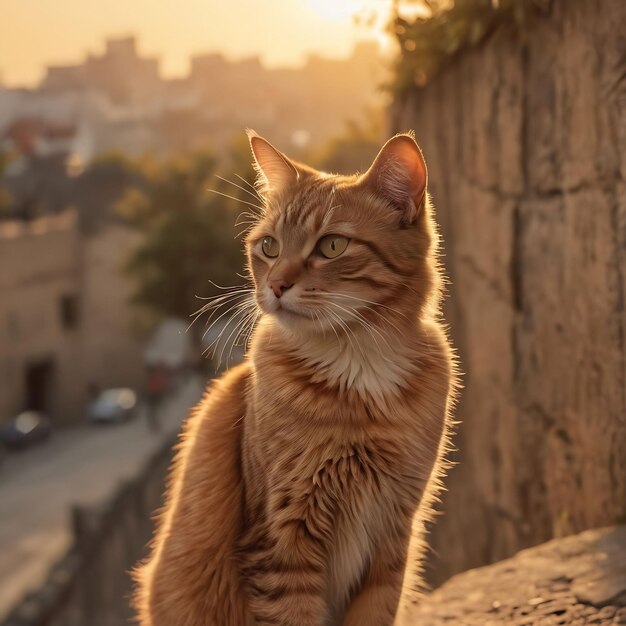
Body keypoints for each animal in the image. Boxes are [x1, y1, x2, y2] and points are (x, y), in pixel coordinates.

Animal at [133, 132, 454, 624]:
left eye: (332, 246)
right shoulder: (281, 542)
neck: (359, 366)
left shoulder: (393, 535)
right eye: (269, 247)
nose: (276, 286)